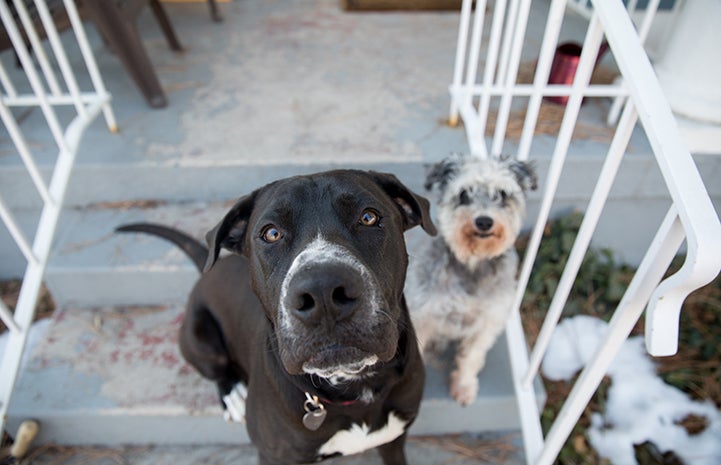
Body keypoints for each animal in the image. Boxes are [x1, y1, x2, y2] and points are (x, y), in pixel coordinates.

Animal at [118, 170, 436, 464]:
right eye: (271, 233)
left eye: (368, 217)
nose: (322, 292)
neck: (355, 388)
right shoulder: (274, 455)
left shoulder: (394, 439)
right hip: (199, 340)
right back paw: (233, 394)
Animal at [404, 154, 536, 404]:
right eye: (464, 193)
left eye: (502, 193)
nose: (484, 222)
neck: (472, 264)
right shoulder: (422, 315)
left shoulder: (487, 323)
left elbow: (471, 358)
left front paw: (464, 386)